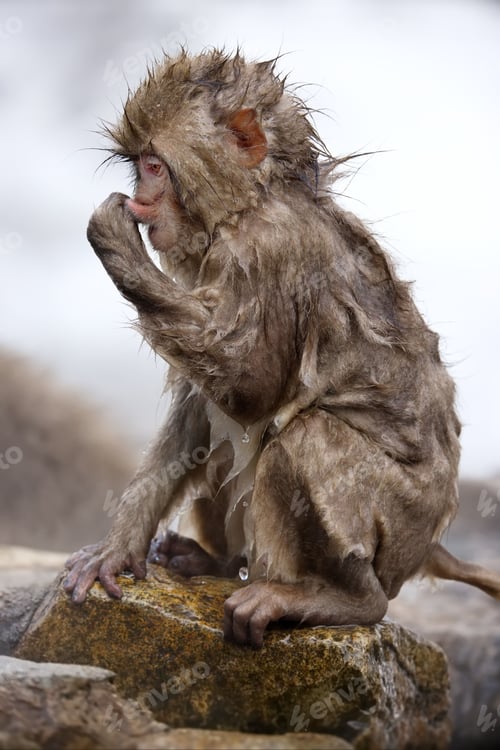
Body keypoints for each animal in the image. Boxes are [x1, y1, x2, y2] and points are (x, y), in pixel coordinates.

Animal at [64, 50, 500, 648]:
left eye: (153, 167)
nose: (144, 199)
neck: (254, 202)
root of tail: (431, 544)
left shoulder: (269, 252)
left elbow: (252, 388)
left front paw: (113, 239)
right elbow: (200, 408)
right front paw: (117, 548)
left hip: (401, 528)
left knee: (306, 434)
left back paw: (344, 598)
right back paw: (221, 563)